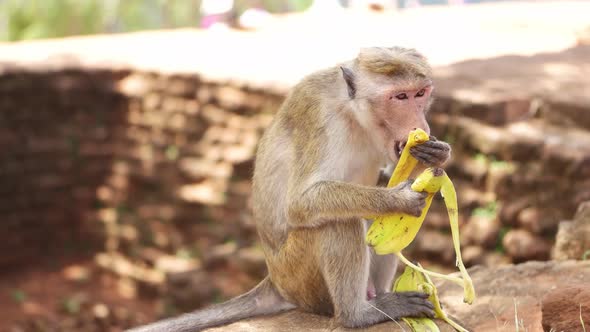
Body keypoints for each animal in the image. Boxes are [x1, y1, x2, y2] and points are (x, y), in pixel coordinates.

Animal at [130, 46, 454, 332]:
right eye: (399, 96)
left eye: (420, 94)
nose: (420, 122)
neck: (353, 112)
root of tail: (275, 281)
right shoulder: (320, 117)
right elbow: (302, 203)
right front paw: (399, 198)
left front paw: (435, 156)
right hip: (299, 277)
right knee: (338, 221)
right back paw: (359, 314)